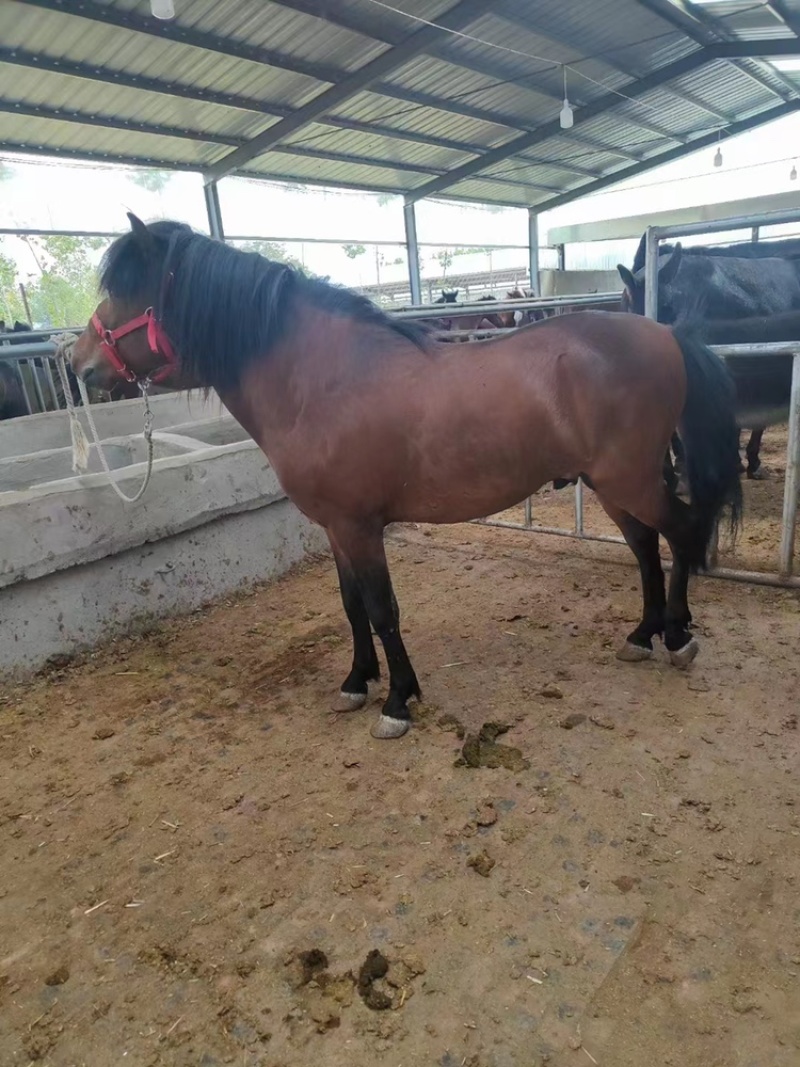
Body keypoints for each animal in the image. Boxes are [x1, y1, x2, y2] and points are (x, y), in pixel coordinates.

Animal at [70, 214, 743, 741]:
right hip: (614, 485)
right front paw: (356, 680)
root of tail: (666, 334)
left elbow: (382, 608)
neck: (322, 380)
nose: (77, 362)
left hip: (629, 479)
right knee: (647, 547)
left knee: (680, 533)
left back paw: (677, 637)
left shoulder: (360, 526)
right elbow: (350, 607)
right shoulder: (335, 527)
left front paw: (397, 701)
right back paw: (643, 634)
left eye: (128, 291)